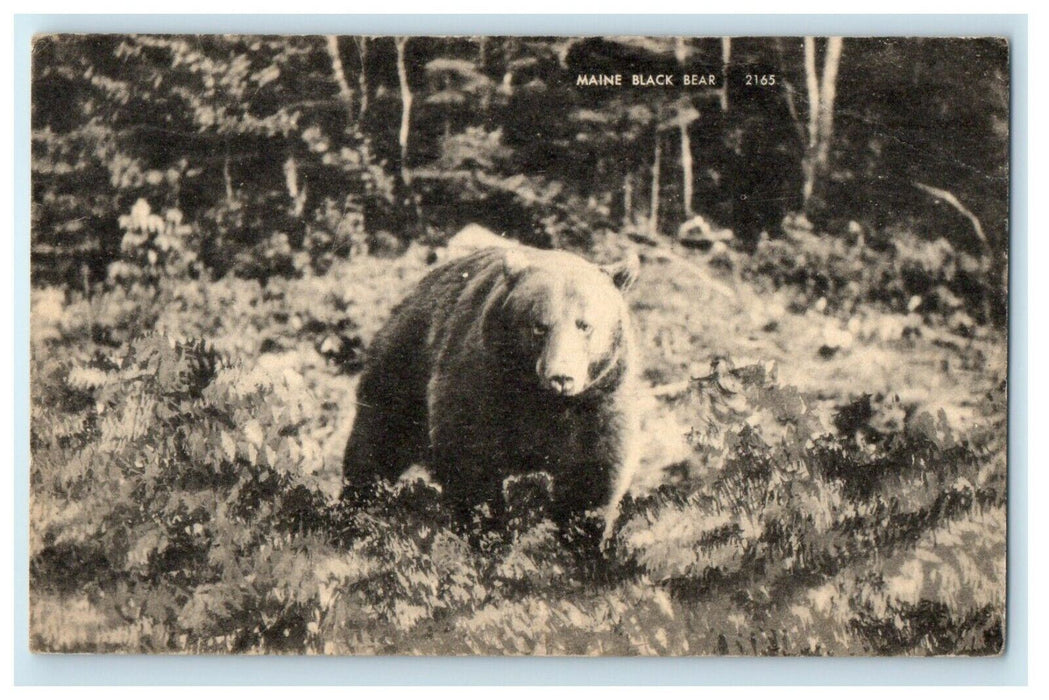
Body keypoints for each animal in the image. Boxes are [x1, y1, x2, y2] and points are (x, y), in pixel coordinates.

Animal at [342, 244, 641, 541]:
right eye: (539, 326)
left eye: (585, 325)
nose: (561, 376)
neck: (542, 399)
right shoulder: (482, 378)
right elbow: (470, 456)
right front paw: (487, 530)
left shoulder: (600, 398)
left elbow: (592, 471)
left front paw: (579, 536)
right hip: (402, 370)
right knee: (376, 444)